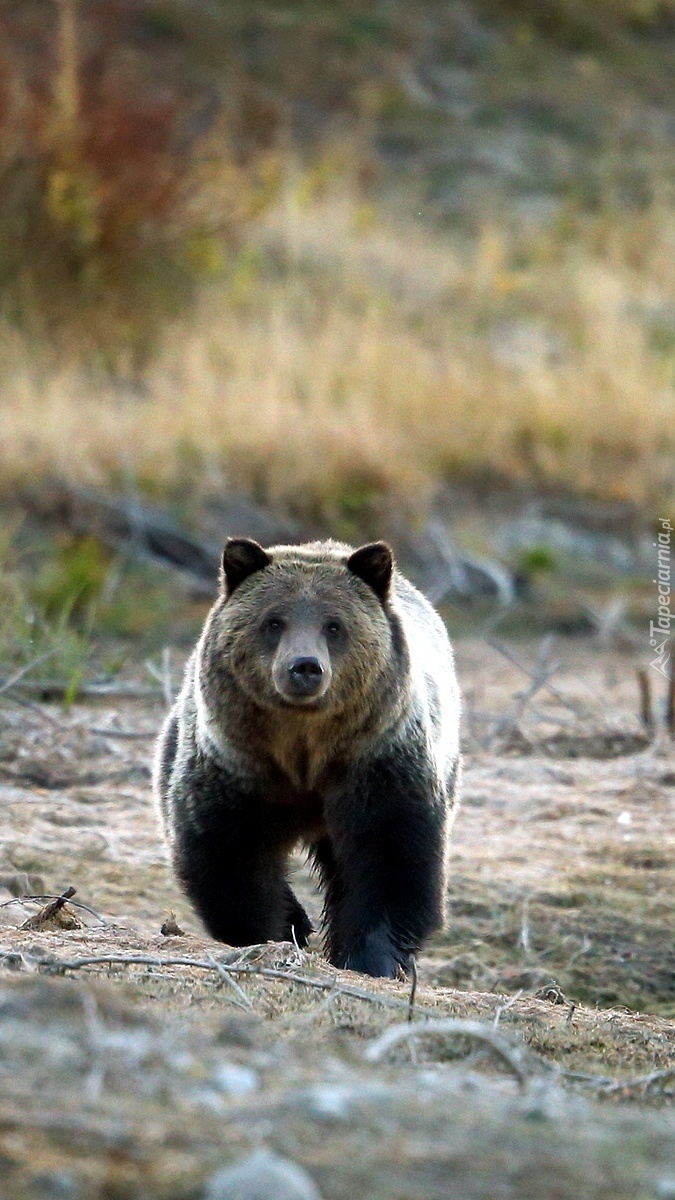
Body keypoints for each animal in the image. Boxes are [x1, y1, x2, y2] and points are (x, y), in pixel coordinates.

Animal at [152, 540, 456, 979]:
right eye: (273, 621)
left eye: (334, 625)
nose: (305, 667)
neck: (305, 748)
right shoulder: (237, 767)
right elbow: (230, 857)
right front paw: (274, 933)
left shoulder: (378, 760)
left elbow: (392, 855)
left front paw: (370, 957)